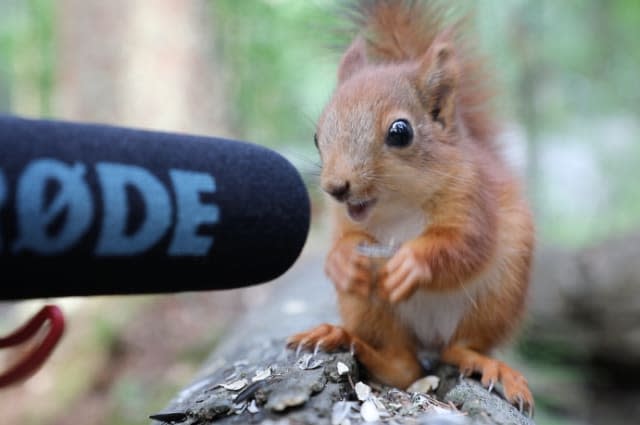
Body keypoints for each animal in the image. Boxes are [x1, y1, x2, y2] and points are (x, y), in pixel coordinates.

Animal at [288, 0, 536, 412]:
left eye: (400, 132)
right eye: (316, 136)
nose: (335, 187)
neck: (398, 206)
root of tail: (428, 336)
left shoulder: (473, 200)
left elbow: (466, 245)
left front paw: (410, 264)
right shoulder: (346, 220)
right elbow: (343, 240)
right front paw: (342, 260)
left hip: (497, 297)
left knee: (459, 348)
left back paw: (486, 364)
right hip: (368, 308)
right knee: (402, 366)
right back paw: (342, 337)